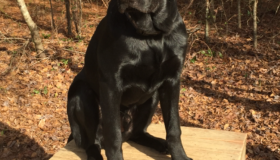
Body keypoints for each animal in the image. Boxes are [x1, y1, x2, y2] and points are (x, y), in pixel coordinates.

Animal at [67, 0, 192, 159]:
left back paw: (160, 143)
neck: (152, 35)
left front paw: (180, 156)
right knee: (92, 144)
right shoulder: (111, 84)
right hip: (81, 95)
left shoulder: (172, 81)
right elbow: (113, 135)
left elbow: (174, 127)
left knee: (137, 134)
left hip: (153, 97)